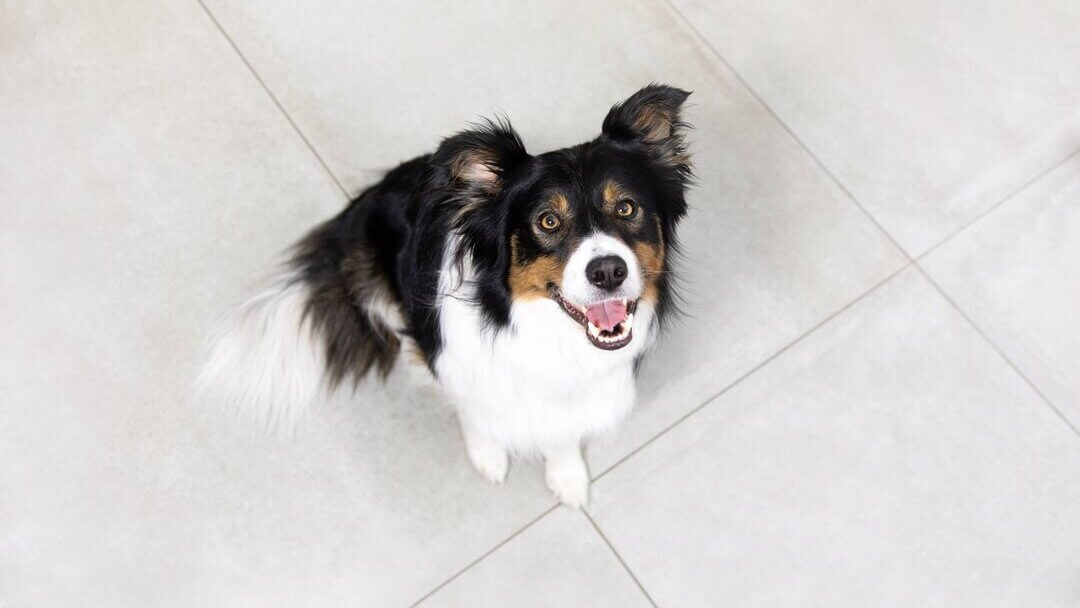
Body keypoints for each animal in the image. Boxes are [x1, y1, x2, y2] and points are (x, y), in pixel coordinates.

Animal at [199, 83, 691, 507]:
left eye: (626, 207)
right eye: (548, 221)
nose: (608, 271)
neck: (542, 332)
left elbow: (566, 429)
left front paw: (566, 474)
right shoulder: (454, 359)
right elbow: (474, 409)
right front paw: (489, 455)